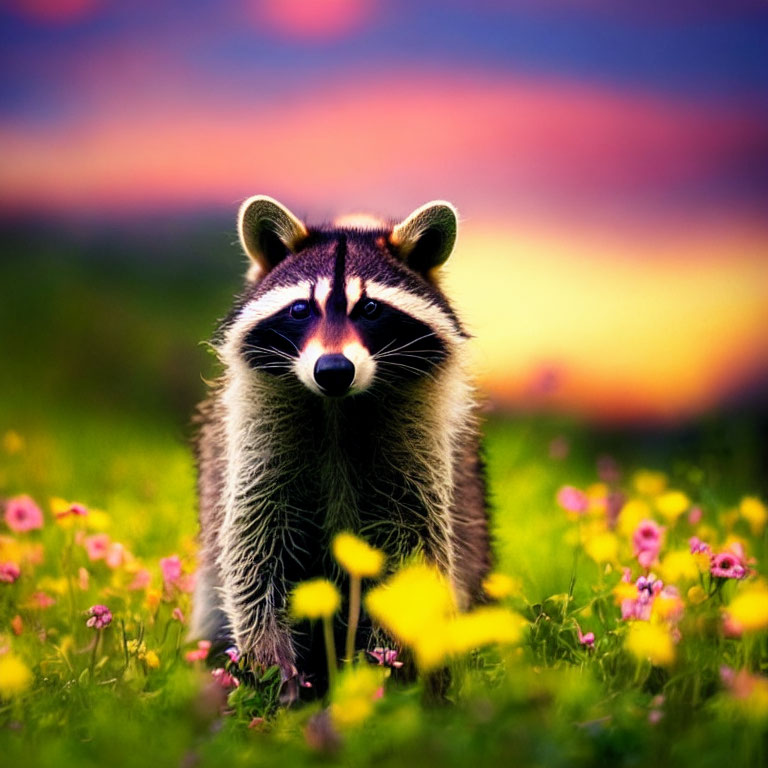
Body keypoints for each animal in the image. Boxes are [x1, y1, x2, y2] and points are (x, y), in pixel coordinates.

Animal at [192, 196, 492, 688]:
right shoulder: (254, 440)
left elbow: (413, 550)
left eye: (369, 309)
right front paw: (270, 661)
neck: (337, 409)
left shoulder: (421, 447)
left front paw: (386, 668)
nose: (333, 370)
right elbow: (253, 550)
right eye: (300, 309)